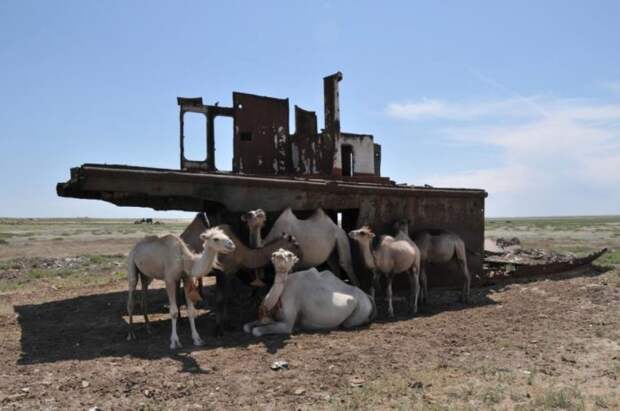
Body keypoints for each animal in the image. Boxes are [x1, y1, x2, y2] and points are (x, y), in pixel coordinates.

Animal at [242, 249, 376, 336]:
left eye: (289, 255)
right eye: (274, 253)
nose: (278, 255)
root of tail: (367, 296)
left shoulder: (287, 323)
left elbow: (256, 331)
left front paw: (295, 328)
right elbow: (246, 327)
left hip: (361, 309)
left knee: (349, 323)